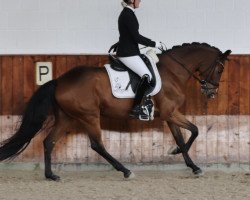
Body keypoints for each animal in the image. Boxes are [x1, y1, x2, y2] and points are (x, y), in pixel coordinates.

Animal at [0, 42, 230, 181]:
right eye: (220, 69)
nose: (211, 93)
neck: (172, 72)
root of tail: (59, 81)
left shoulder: (170, 115)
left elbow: (184, 136)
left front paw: (191, 164)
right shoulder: (170, 113)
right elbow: (195, 130)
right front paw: (179, 155)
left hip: (67, 118)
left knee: (49, 141)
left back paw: (51, 175)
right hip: (89, 116)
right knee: (97, 145)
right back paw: (126, 171)